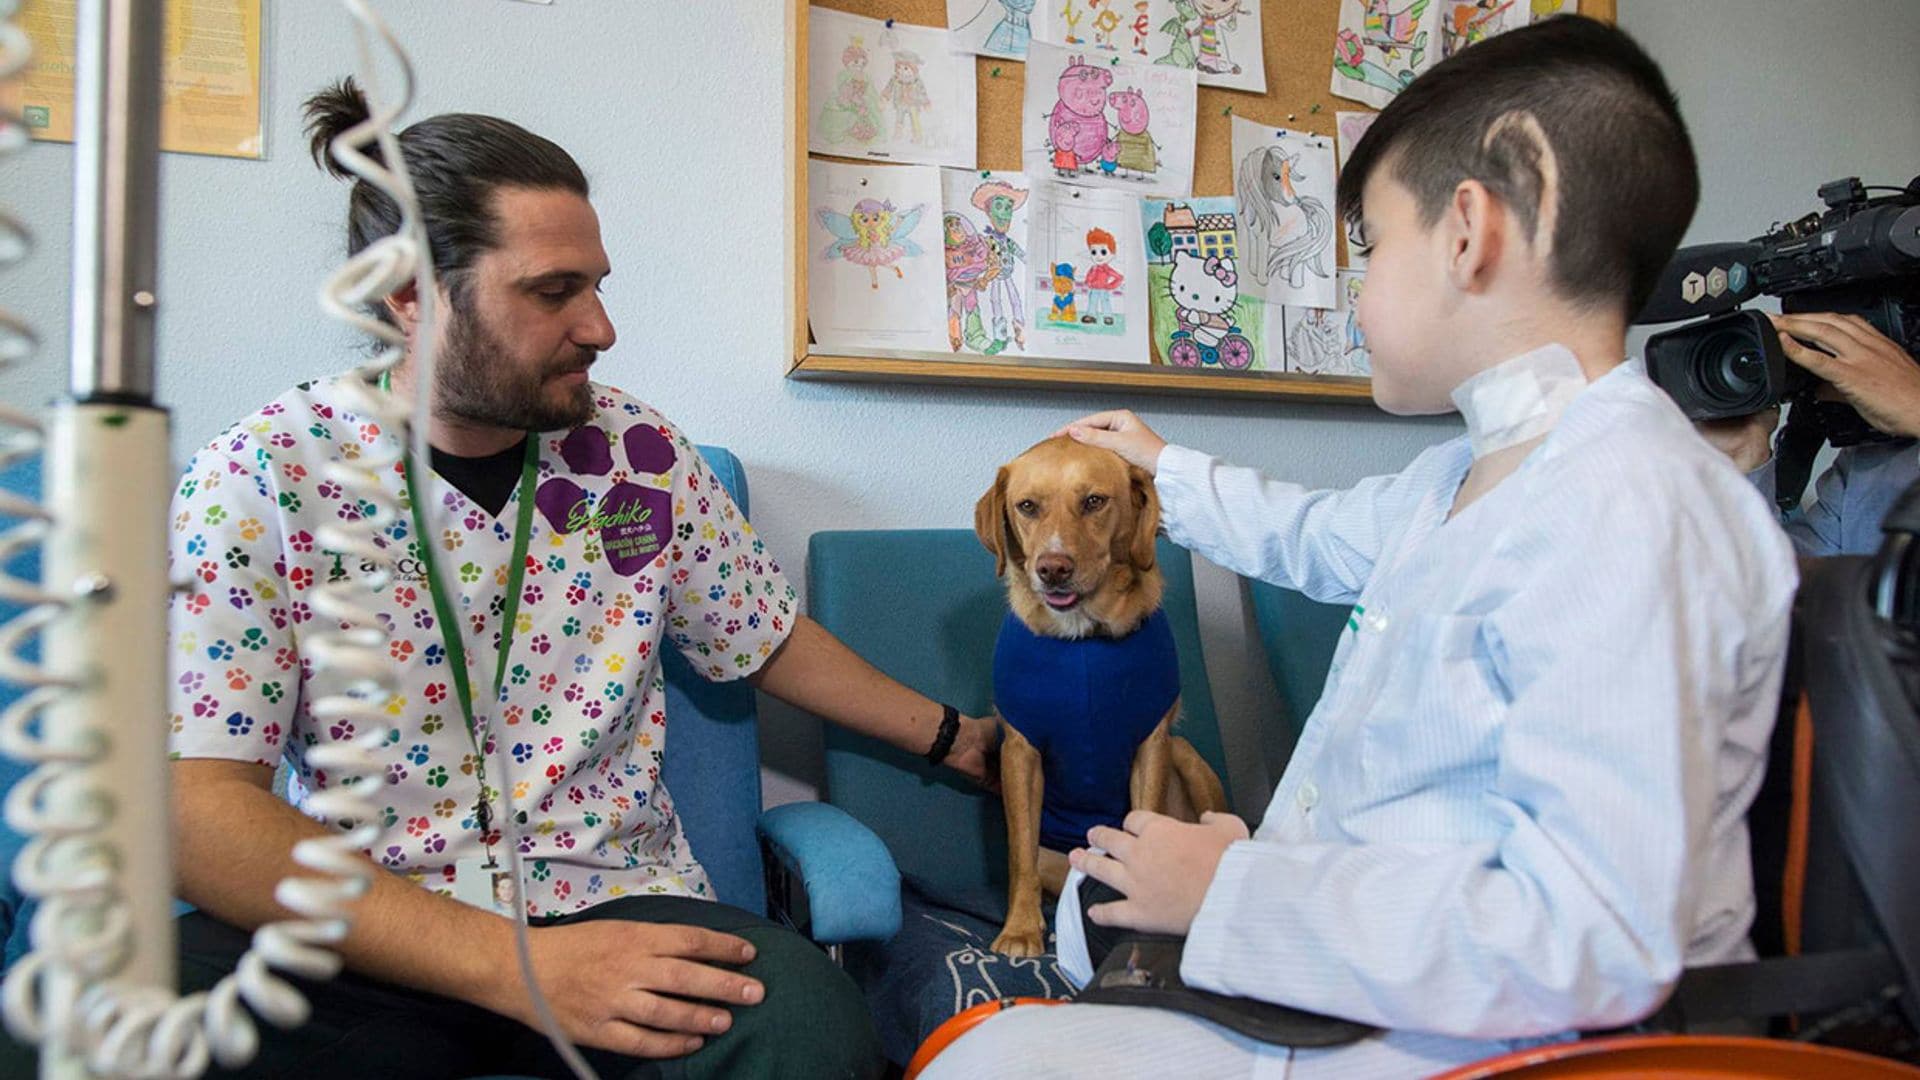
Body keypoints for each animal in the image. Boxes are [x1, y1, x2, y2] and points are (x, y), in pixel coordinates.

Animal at [975, 432, 1228, 953]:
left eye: (1094, 501)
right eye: (1027, 506)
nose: (1053, 568)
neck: (1083, 640)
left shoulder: (1152, 742)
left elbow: (1143, 817)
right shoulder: (1020, 751)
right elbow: (1020, 854)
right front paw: (1021, 928)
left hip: (1188, 757)